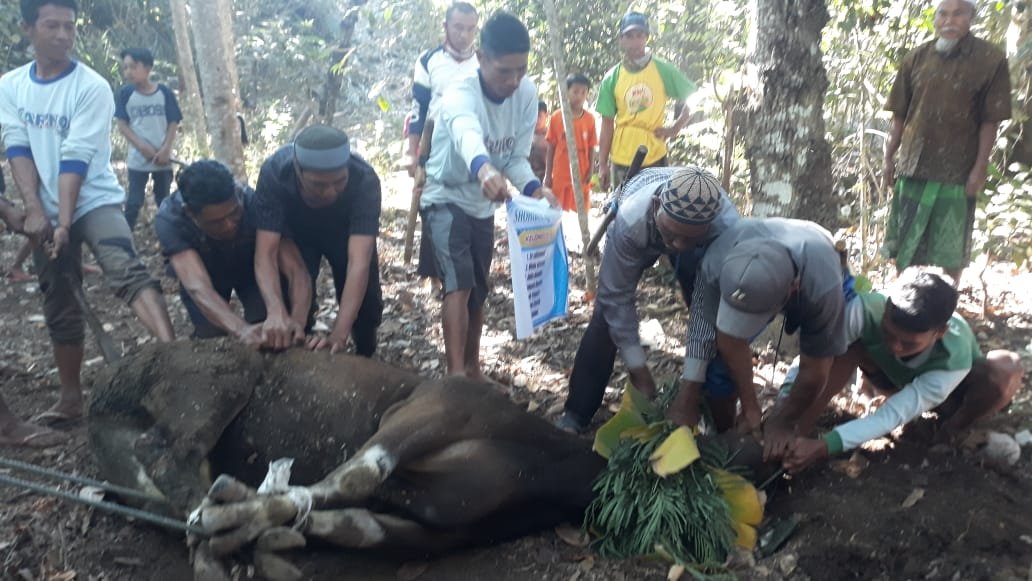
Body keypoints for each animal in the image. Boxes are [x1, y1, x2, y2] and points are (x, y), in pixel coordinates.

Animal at [88, 340, 610, 581]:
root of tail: (109, 387)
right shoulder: (438, 403)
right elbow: (358, 475)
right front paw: (240, 522)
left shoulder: (444, 525)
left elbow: (356, 524)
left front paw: (263, 535)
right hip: (220, 376)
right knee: (164, 453)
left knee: (171, 490)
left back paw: (218, 547)